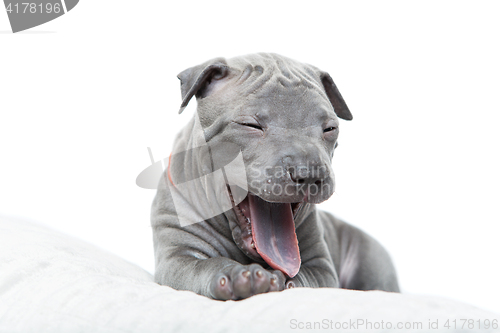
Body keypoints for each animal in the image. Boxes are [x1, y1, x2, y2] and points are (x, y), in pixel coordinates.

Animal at [151, 52, 398, 300]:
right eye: (250, 125)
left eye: (330, 129)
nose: (310, 174)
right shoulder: (177, 257)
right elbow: (204, 265)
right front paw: (236, 275)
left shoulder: (321, 266)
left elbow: (306, 279)